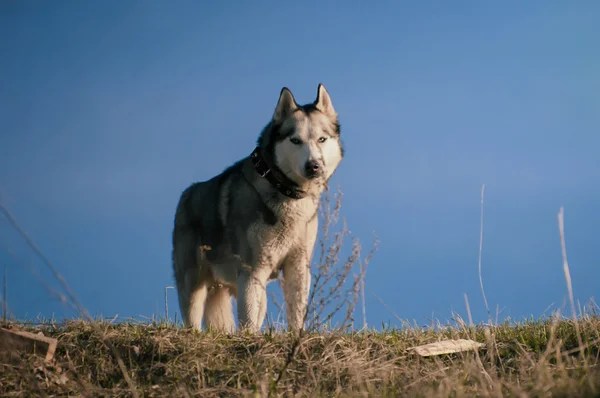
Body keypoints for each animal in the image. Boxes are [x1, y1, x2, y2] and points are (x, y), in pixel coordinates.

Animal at [171, 84, 344, 332]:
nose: (314, 166)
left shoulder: (298, 266)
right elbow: (249, 322)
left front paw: (297, 337)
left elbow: (296, 314)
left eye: (322, 139)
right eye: (295, 140)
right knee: (192, 315)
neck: (285, 192)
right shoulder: (252, 269)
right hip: (194, 282)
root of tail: (187, 194)